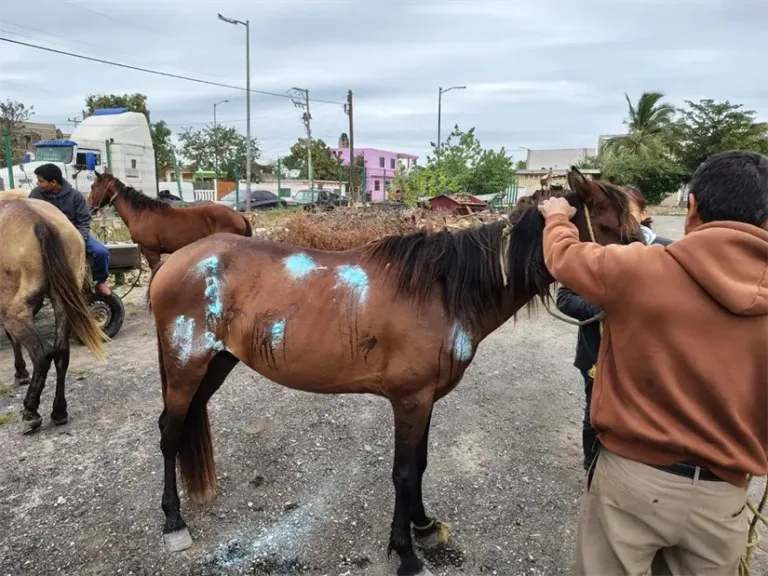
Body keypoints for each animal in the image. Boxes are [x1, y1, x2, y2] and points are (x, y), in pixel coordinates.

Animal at [0, 198, 107, 433]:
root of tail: (38, 219)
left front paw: (20, 373)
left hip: (14, 310)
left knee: (42, 353)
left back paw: (31, 411)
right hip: (62, 300)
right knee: (61, 352)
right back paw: (59, 411)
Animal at [147, 167, 643, 576]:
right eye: (615, 227)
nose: (642, 274)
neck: (443, 292)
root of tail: (175, 264)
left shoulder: (424, 401)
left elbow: (419, 466)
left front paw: (423, 526)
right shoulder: (410, 400)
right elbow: (403, 473)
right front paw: (405, 553)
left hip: (216, 363)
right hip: (186, 365)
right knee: (170, 431)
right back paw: (173, 522)